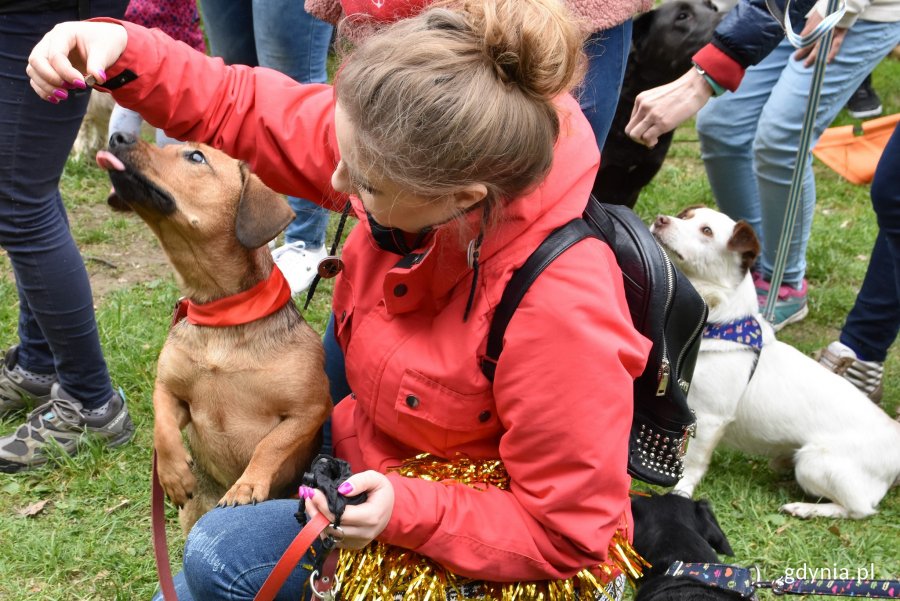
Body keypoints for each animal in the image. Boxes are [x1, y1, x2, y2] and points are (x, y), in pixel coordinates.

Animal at [652, 205, 896, 516]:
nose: (661, 219)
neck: (714, 322)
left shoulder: (710, 419)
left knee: (859, 510)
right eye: (685, 216)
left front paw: (681, 491)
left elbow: (692, 461)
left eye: (707, 231)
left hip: (814, 463)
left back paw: (805, 508)